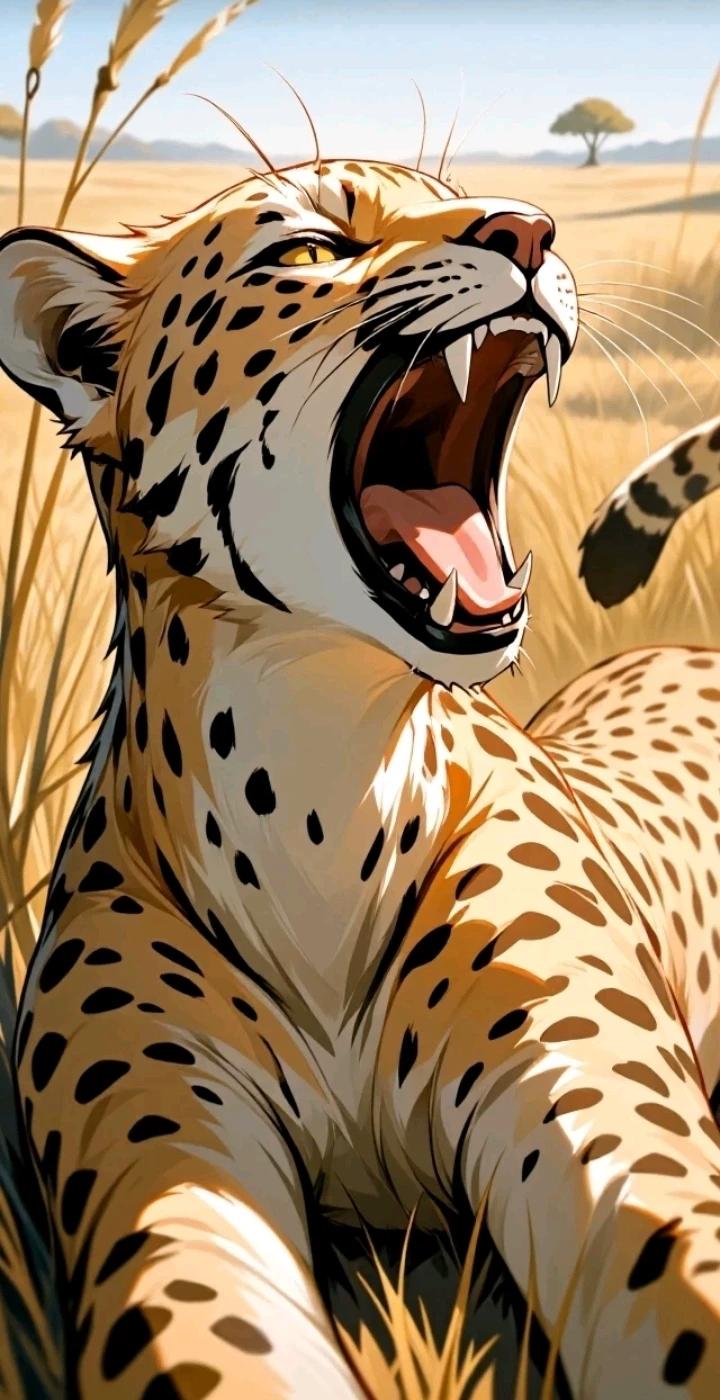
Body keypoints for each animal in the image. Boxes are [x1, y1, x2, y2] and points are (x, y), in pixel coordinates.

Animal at [1, 153, 720, 1400]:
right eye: (309, 248)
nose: (530, 230)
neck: (315, 778)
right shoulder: (166, 1142)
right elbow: (217, 1332)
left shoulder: (601, 1093)